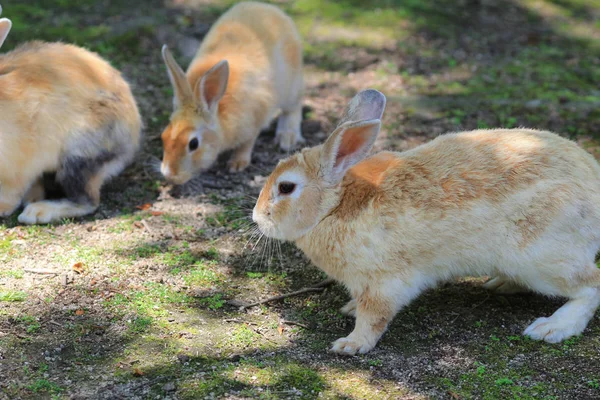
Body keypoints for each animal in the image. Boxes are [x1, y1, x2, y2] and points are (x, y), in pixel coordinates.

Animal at [158, 0, 302, 184]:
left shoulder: (254, 120)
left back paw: (287, 137)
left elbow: (247, 143)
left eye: (193, 144)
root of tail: (269, 8)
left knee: (294, 108)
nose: (169, 174)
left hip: (291, 88)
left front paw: (237, 163)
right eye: (164, 136)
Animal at [252, 89, 600, 354]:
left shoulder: (385, 281)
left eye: (286, 187)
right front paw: (349, 308)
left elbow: (374, 317)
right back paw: (502, 284)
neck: (335, 208)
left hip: (543, 257)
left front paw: (351, 344)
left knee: (591, 285)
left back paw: (552, 327)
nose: (257, 217)